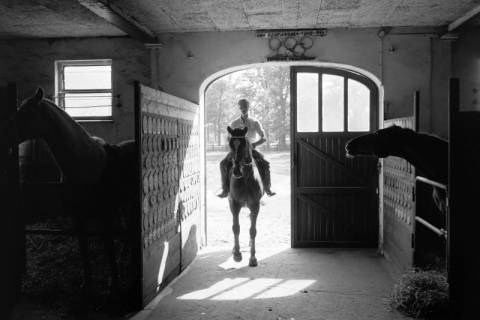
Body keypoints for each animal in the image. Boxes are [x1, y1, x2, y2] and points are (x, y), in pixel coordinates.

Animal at [0, 89, 139, 294]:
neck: (86, 166)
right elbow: (83, 250)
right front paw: (87, 283)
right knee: (128, 232)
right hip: (126, 203)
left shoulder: (105, 215)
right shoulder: (77, 217)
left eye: (25, 113)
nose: (4, 134)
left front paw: (113, 283)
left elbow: (108, 247)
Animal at [228, 126, 264, 266]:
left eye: (244, 145)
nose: (236, 171)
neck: (245, 179)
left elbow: (253, 230)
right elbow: (235, 228)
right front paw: (237, 254)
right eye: (230, 144)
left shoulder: (255, 205)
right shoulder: (234, 204)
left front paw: (253, 258)